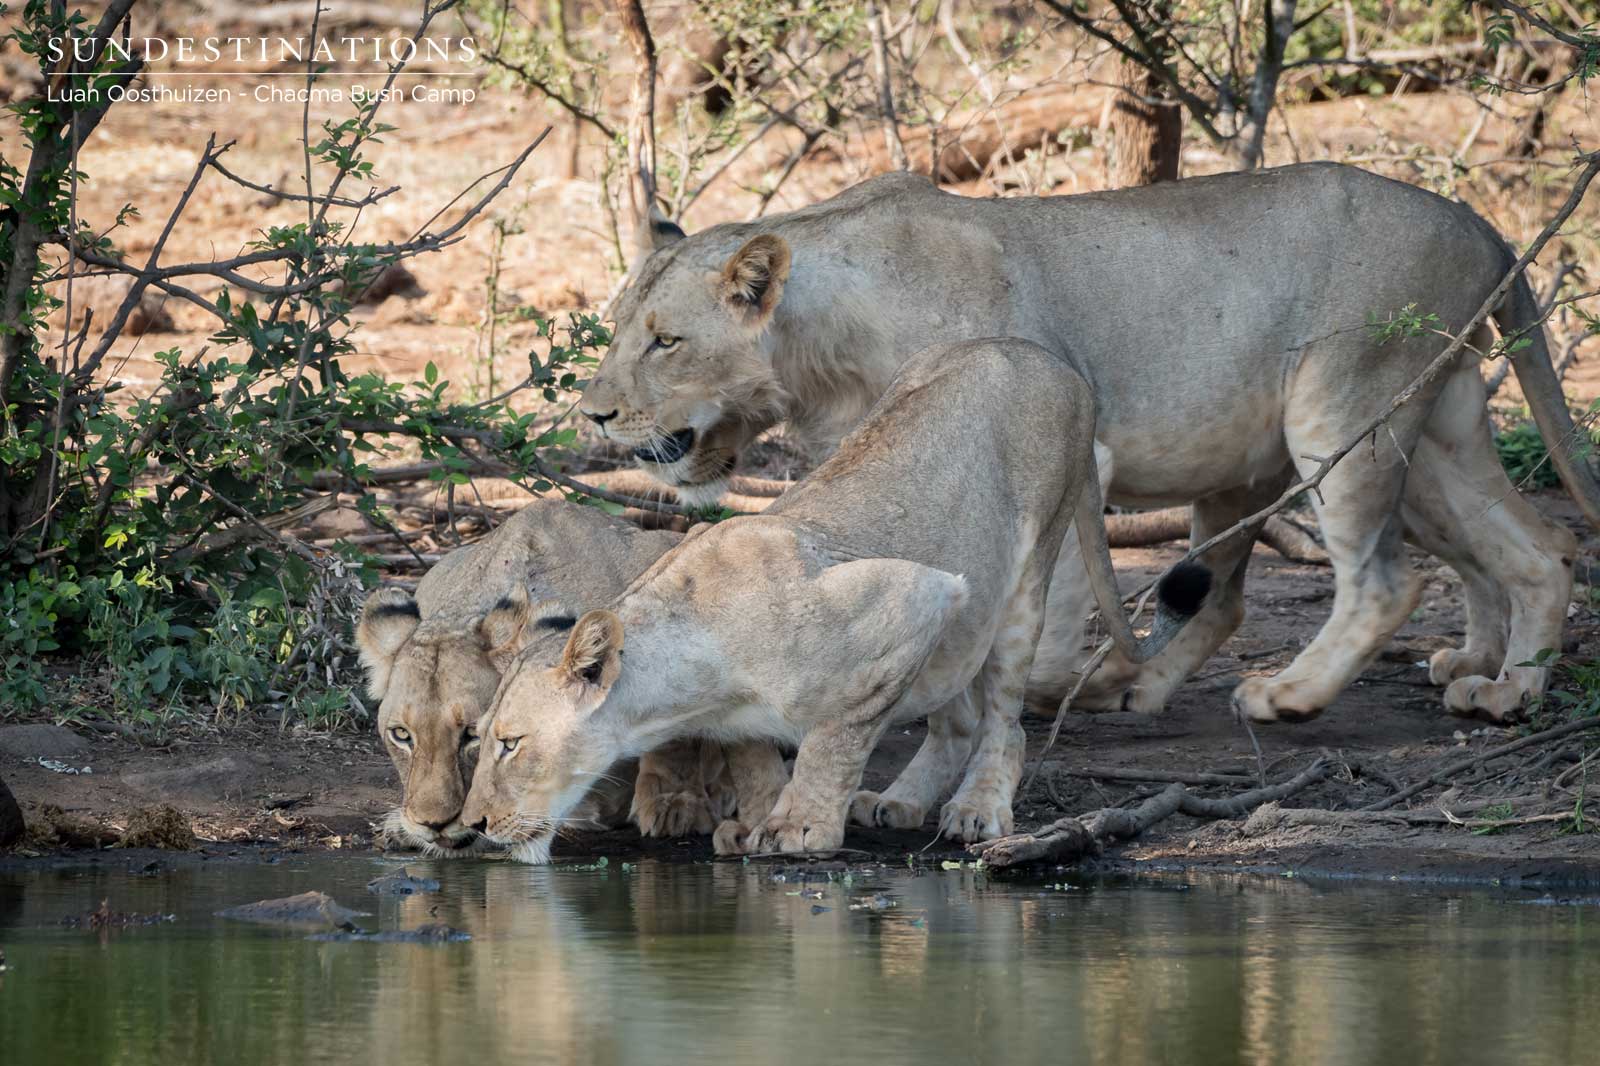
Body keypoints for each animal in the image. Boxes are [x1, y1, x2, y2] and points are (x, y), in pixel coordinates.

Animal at [461, 338, 1211, 862]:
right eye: (478, 736)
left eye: (509, 743)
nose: (473, 824)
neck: (685, 685)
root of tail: (1051, 360)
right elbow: (754, 755)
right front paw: (755, 819)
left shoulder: (916, 596)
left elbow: (834, 740)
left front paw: (800, 824)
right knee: (956, 717)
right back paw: (901, 802)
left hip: (1023, 573)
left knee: (1004, 717)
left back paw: (978, 809)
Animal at [581, 163, 1597, 725]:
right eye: (619, 327)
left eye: (665, 341)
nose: (592, 416)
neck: (823, 343)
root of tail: (1481, 222)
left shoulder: (1069, 434)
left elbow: (1056, 585)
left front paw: (1039, 684)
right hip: (1433, 429)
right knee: (1540, 546)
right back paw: (1507, 691)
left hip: (1345, 411)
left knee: (1385, 580)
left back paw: (1286, 694)